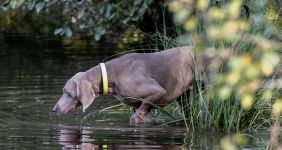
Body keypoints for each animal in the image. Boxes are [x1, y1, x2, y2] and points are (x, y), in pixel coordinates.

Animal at [53, 46, 212, 125]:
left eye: (67, 93)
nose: (54, 110)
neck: (113, 74)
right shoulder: (134, 104)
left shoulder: (157, 92)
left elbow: (136, 118)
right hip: (184, 96)